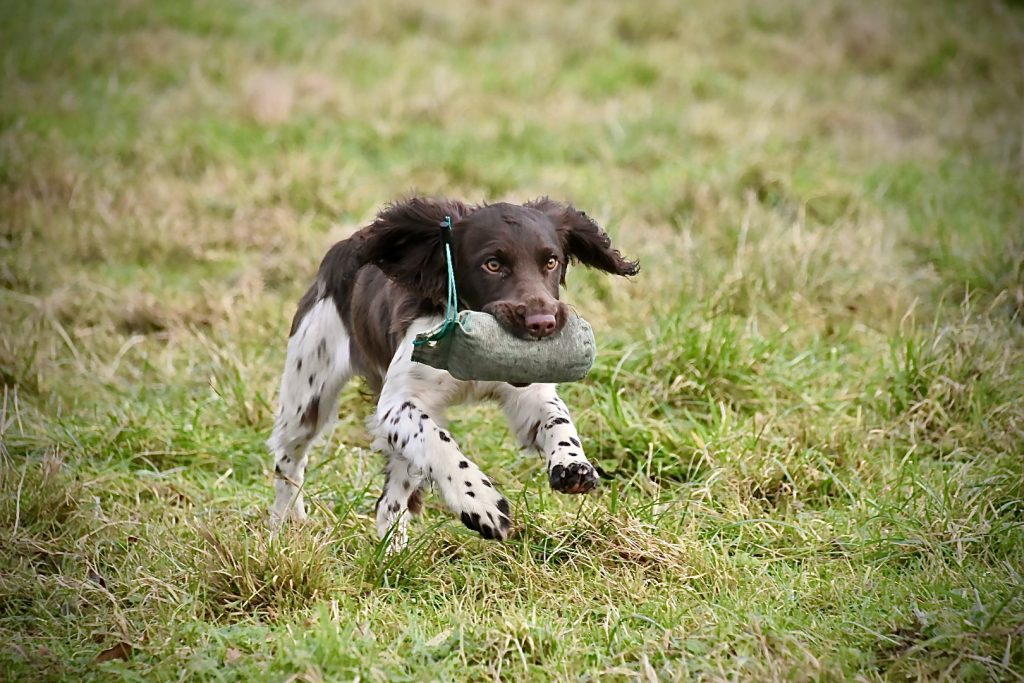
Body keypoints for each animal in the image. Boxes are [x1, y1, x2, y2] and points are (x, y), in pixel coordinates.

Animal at [270, 197, 638, 548]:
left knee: (390, 502)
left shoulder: (529, 392)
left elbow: (558, 421)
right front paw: (481, 503)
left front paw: (573, 464)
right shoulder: (397, 404)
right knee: (289, 459)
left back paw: (392, 555)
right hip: (307, 395)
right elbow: (440, 443)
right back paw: (286, 526)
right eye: (492, 264)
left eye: (551, 262)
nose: (542, 323)